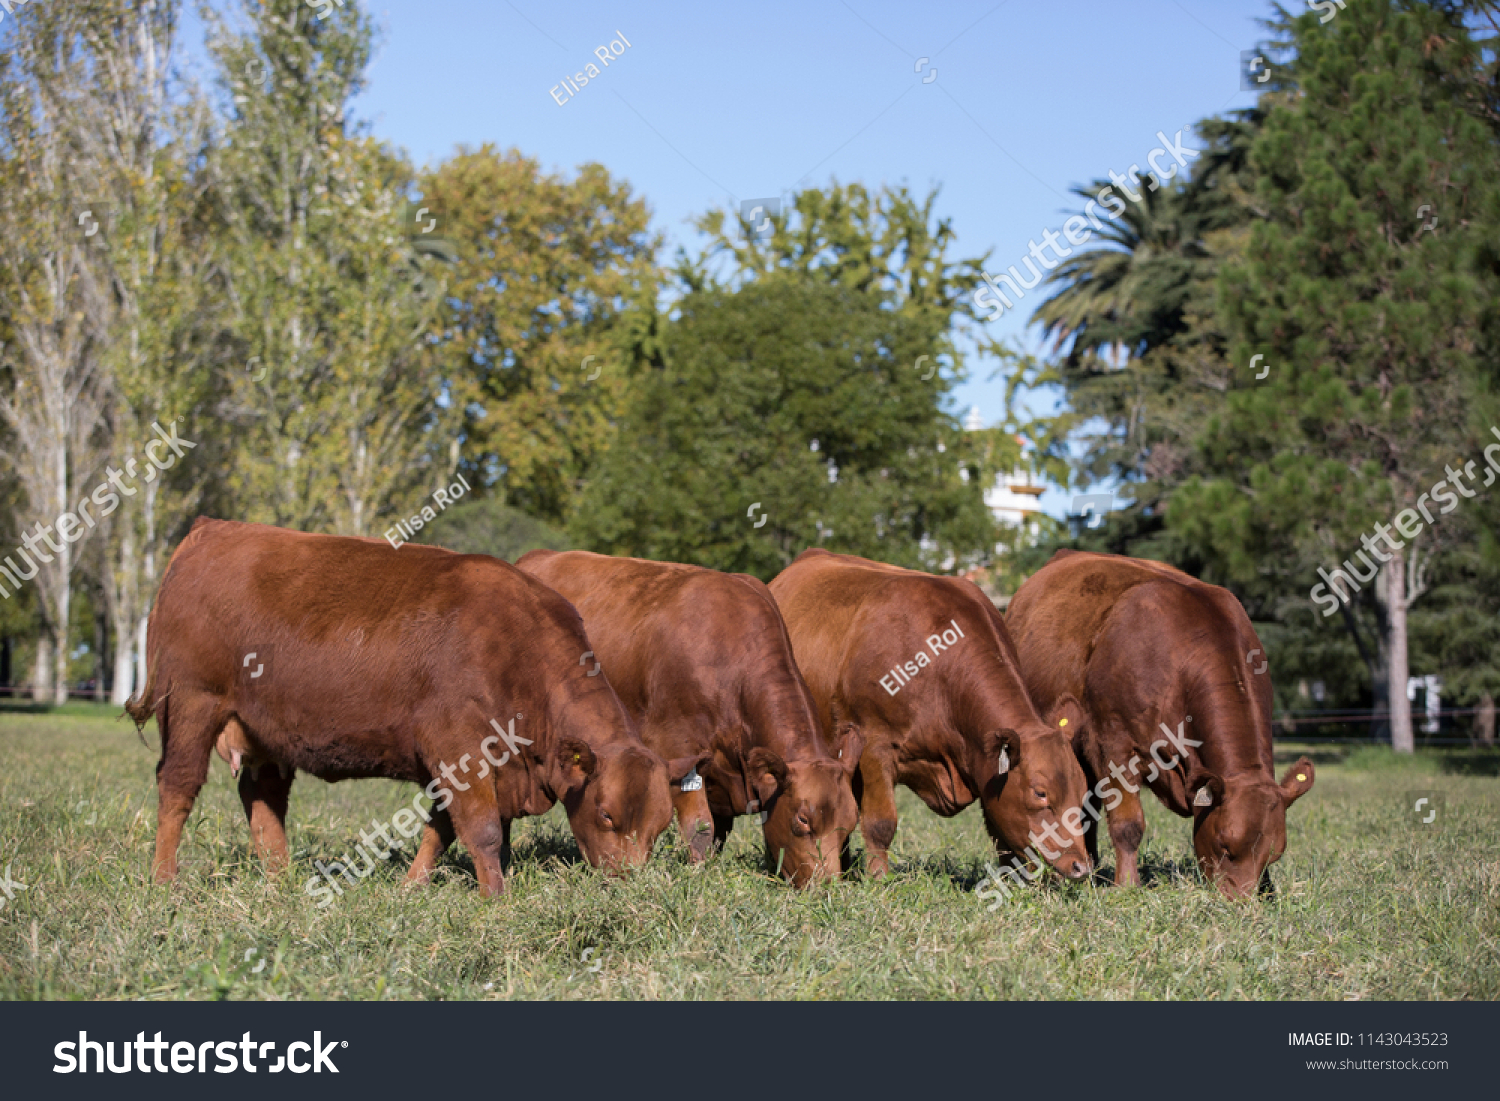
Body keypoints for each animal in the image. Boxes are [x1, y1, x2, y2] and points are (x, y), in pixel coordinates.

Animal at [123, 516, 687, 900]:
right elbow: (480, 829)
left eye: (661, 825)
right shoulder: (459, 748)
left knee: (262, 798)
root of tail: (213, 529)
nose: (629, 883)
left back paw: (280, 878)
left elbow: (444, 829)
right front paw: (497, 898)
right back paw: (164, 879)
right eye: (608, 813)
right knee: (177, 788)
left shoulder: (462, 765)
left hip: (263, 729)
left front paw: (414, 885)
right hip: (194, 704)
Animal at [522, 552, 864, 888]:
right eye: (802, 820)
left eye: (849, 825)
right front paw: (699, 874)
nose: (826, 887)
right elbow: (701, 828)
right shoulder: (677, 747)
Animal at [774, 555, 1092, 882]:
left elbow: (999, 830)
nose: (1080, 866)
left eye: (1082, 791)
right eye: (1041, 793)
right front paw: (879, 880)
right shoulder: (875, 748)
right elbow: (880, 823)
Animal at [1008, 549, 1314, 900]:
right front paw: (1127, 885)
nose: (1240, 905)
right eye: (1224, 844)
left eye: (1272, 854)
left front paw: (1268, 890)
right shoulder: (1113, 746)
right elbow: (1128, 825)